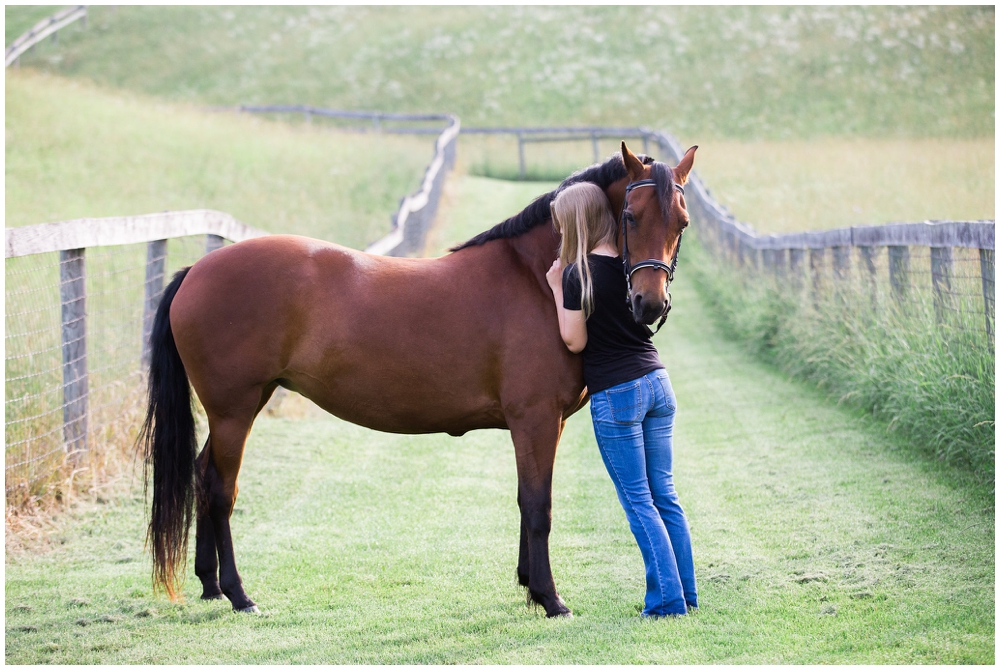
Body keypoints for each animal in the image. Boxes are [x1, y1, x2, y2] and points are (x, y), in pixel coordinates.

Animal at [141, 140, 696, 620]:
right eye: (630, 216)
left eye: (682, 221)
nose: (649, 304)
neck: (537, 279)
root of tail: (196, 271)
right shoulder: (535, 420)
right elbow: (538, 505)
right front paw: (550, 598)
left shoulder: (544, 424)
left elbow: (525, 501)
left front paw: (528, 585)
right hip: (233, 410)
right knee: (220, 489)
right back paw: (239, 594)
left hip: (242, 405)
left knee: (202, 475)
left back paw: (210, 585)